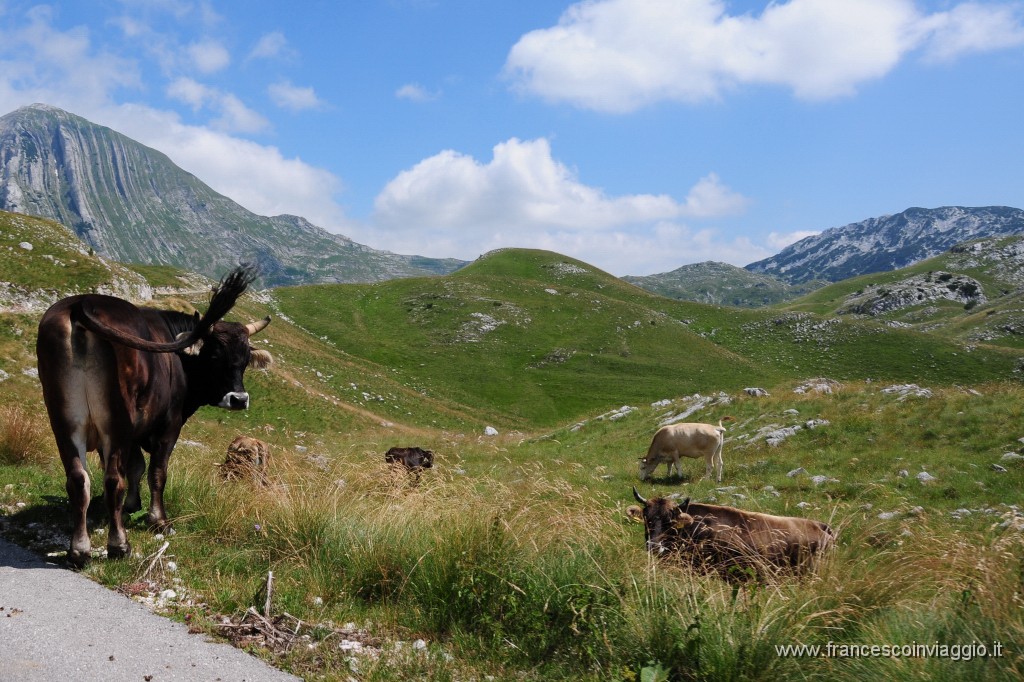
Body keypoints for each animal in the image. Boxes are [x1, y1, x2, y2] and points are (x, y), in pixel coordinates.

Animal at [37, 264, 272, 561]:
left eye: (245, 359)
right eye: (215, 356)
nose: (239, 399)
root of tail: (81, 304)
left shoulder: (134, 432)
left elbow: (136, 467)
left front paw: (131, 504)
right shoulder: (168, 425)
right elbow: (157, 472)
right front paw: (158, 519)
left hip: (63, 421)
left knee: (79, 479)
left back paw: (79, 549)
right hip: (116, 424)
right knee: (113, 479)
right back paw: (119, 545)